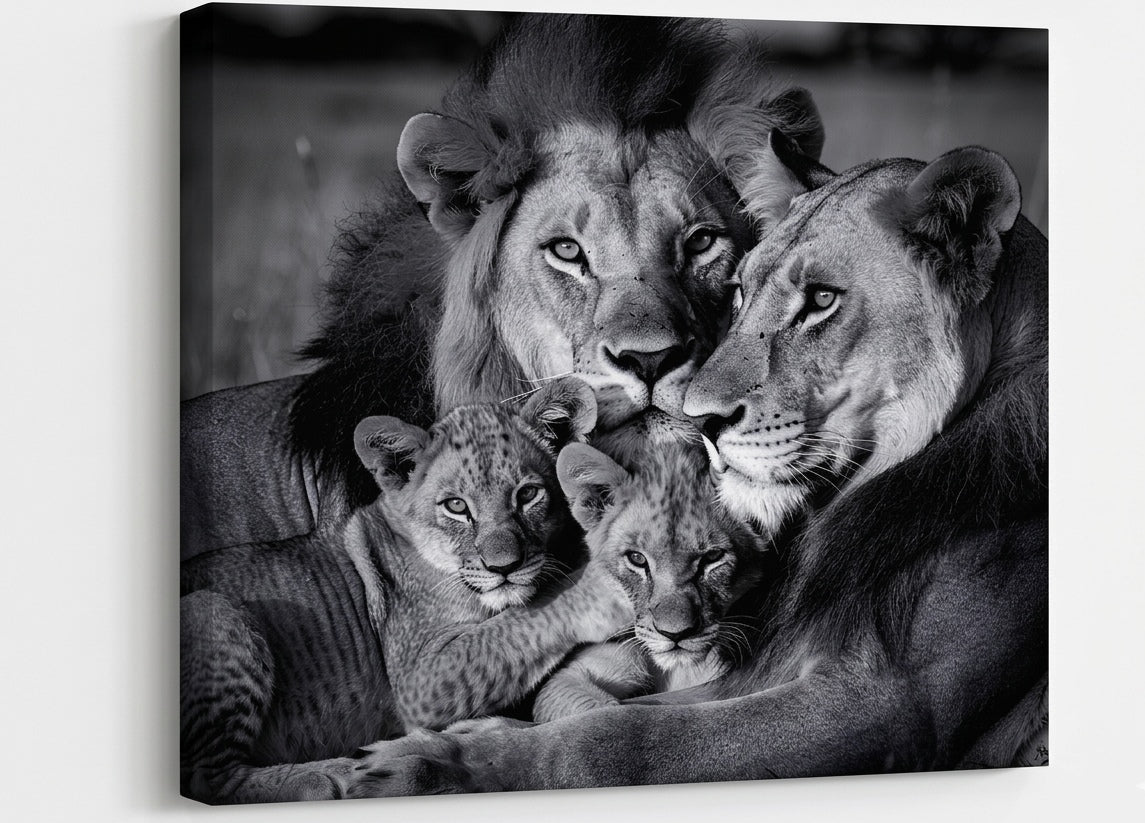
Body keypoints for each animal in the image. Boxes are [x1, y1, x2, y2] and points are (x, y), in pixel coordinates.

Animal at [344, 134, 1047, 793]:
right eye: (741, 290)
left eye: (822, 300)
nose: (701, 419)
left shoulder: (891, 702)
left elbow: (625, 738)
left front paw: (435, 762)